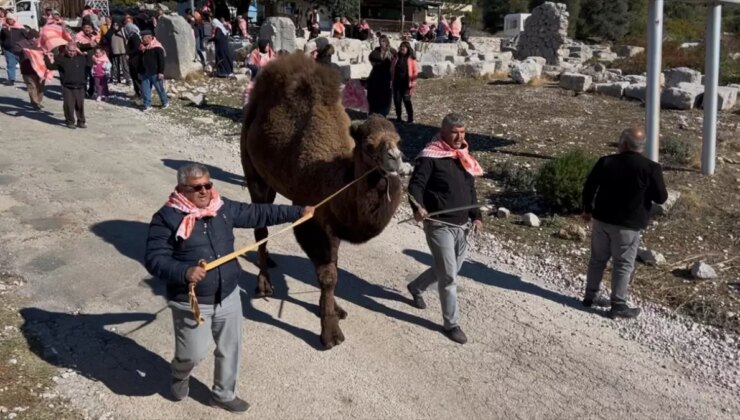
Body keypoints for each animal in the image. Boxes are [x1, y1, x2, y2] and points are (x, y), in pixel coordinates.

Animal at [241, 52, 404, 348]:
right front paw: (330, 332)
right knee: (260, 227)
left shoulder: (332, 220)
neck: (335, 178)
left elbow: (335, 264)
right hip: (252, 171)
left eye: (399, 140)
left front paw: (335, 309)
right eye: (369, 145)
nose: (395, 159)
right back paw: (264, 284)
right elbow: (327, 274)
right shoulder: (310, 217)